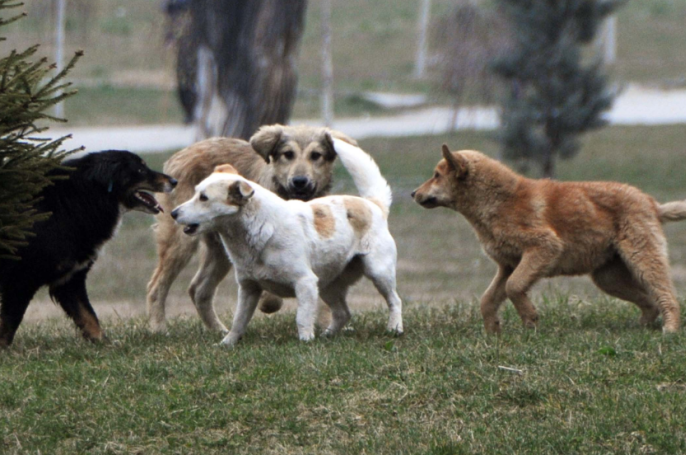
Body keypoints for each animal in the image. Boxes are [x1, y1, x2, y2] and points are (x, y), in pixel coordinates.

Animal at [0, 151, 177, 348]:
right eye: (140, 169)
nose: (174, 181)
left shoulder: (69, 280)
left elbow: (88, 317)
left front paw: (105, 345)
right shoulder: (20, 279)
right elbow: (9, 323)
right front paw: (4, 350)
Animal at [148, 124, 358, 332]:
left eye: (316, 155)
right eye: (288, 154)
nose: (299, 181)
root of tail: (180, 154)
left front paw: (325, 324)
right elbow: (272, 289)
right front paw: (269, 302)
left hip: (220, 251)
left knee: (198, 290)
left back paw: (219, 330)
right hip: (180, 242)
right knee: (156, 286)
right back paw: (158, 328)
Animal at [172, 139, 406, 346]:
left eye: (204, 198)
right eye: (195, 193)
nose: (174, 213)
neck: (259, 230)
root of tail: (373, 205)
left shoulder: (305, 283)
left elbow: (302, 318)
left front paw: (305, 342)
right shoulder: (248, 288)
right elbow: (239, 321)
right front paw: (227, 343)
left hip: (378, 272)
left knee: (394, 300)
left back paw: (394, 328)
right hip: (328, 286)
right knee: (343, 313)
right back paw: (328, 336)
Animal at [414, 146, 686, 334]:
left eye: (436, 175)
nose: (413, 193)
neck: (498, 201)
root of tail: (652, 204)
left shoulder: (544, 246)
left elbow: (514, 287)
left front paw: (530, 320)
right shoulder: (508, 265)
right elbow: (488, 299)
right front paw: (493, 332)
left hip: (642, 257)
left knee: (666, 294)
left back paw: (670, 328)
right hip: (608, 277)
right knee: (649, 301)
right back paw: (642, 326)